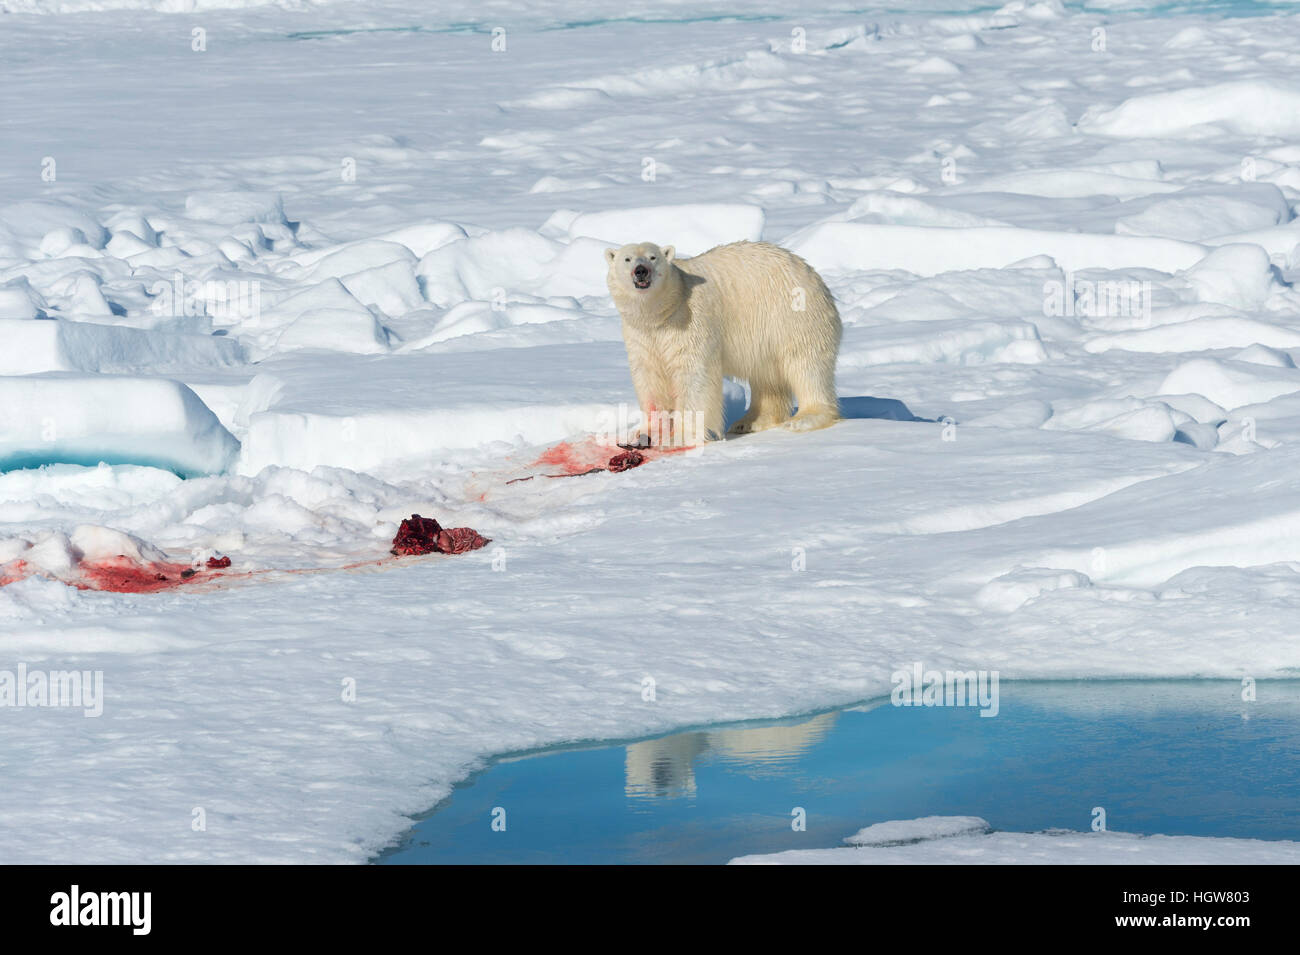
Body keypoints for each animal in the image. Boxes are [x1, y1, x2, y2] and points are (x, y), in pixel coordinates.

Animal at [605, 240, 842, 446]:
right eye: (627, 259)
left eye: (653, 257)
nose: (641, 270)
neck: (662, 312)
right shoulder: (642, 334)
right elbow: (650, 378)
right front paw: (644, 433)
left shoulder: (689, 320)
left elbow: (693, 375)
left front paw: (681, 437)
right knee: (766, 375)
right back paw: (749, 422)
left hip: (793, 315)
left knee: (805, 365)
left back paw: (804, 418)